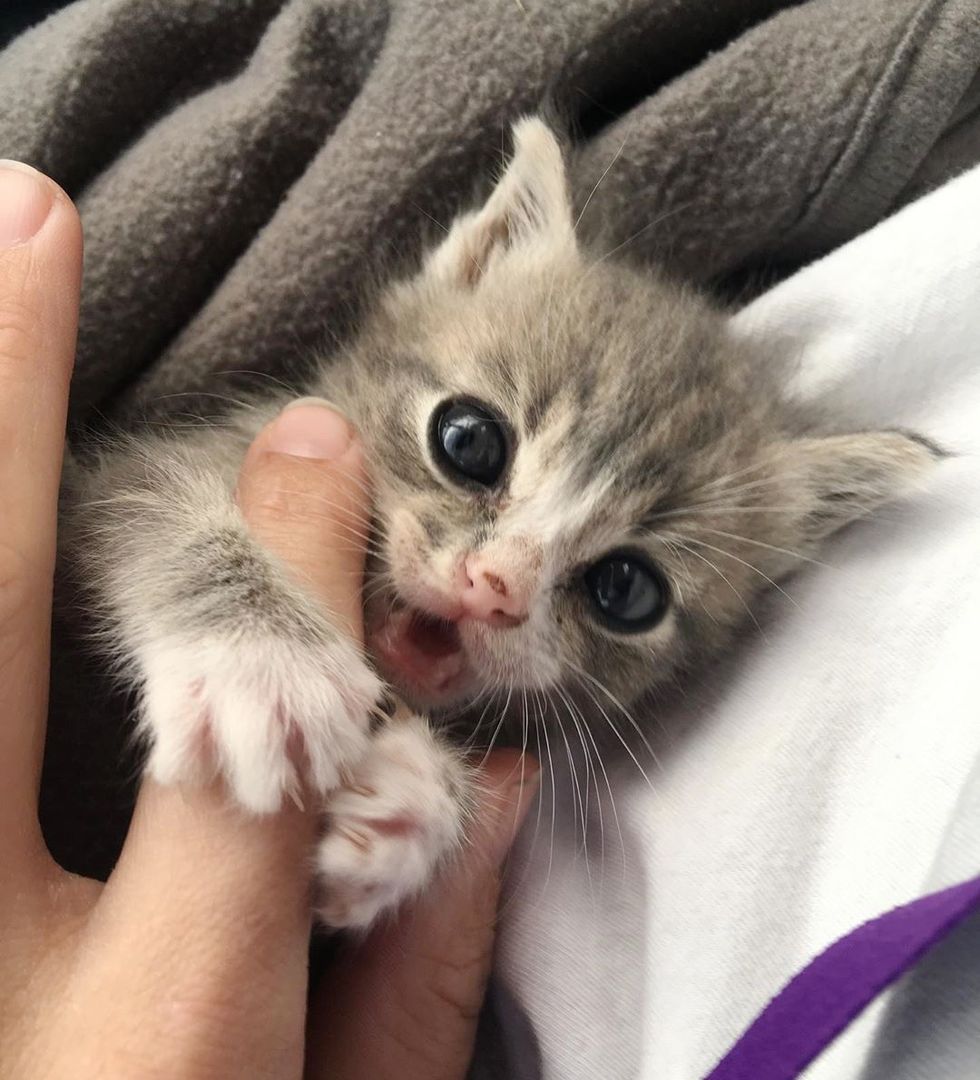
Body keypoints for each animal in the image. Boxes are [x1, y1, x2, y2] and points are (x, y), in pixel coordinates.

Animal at [63, 116, 942, 928]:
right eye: (469, 441)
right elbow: (158, 506)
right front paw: (263, 662)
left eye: (627, 590)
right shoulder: (113, 477)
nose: (494, 585)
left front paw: (417, 800)